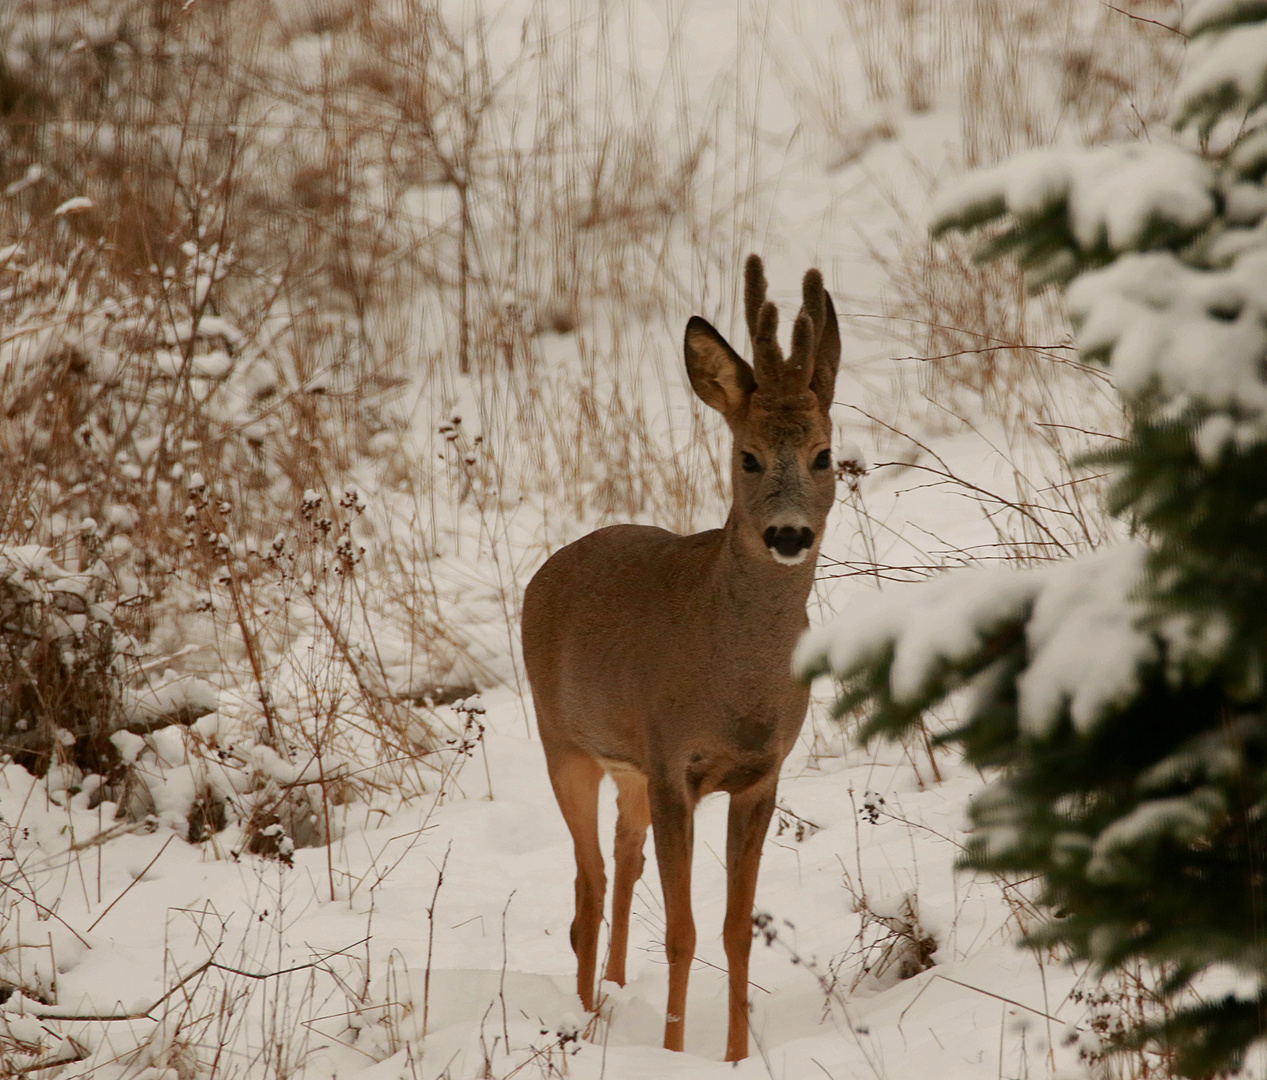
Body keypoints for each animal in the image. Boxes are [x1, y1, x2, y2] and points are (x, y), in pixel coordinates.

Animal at [519, 254, 836, 1064]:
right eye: (747, 457)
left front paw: (734, 1054)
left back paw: (612, 988)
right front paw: (670, 1050)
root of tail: (548, 569)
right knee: (589, 884)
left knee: (622, 859)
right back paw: (585, 1012)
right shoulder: (674, 767)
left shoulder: (759, 775)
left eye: (823, 456)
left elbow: (736, 930)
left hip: (628, 765)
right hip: (564, 742)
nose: (789, 534)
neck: (737, 684)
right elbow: (685, 931)